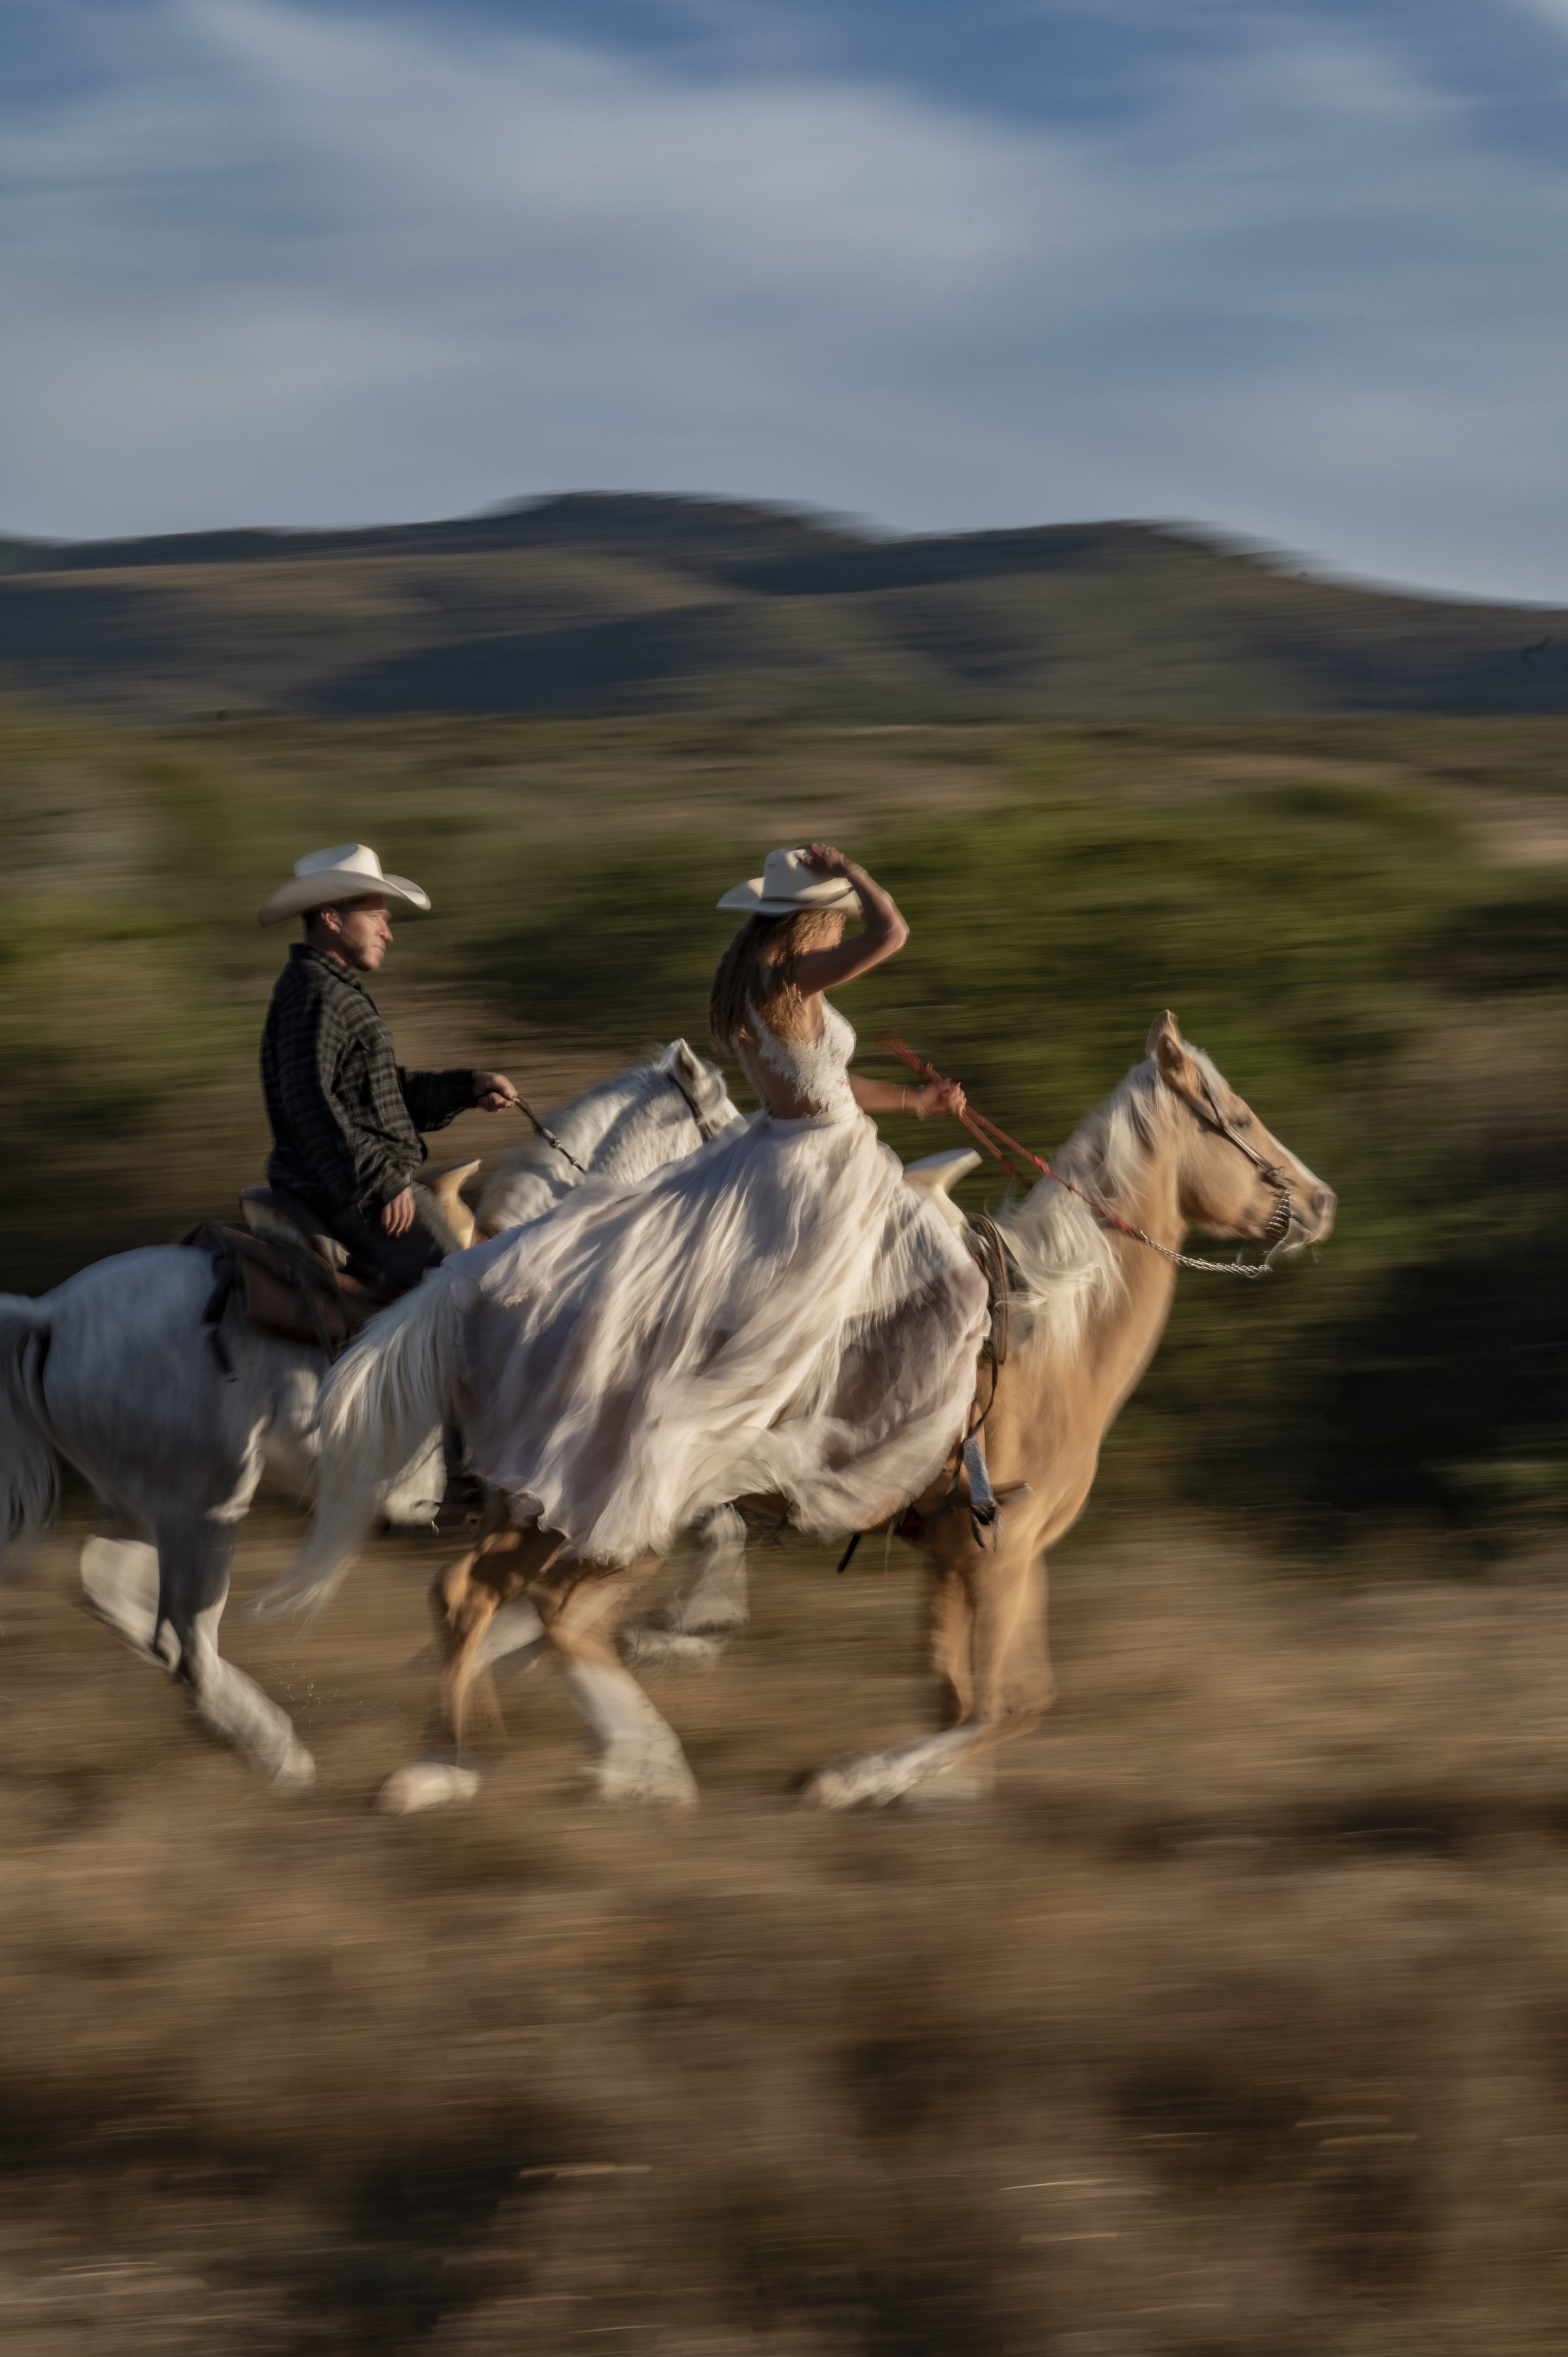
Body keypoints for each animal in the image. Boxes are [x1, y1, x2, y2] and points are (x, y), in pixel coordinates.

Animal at [0, 1040, 742, 1789]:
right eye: (734, 1122)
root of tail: (51, 1314)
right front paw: (666, 1667)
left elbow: (702, 1525)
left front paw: (679, 1634)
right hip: (205, 1507)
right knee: (183, 1636)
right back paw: (278, 1751)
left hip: (141, 1502)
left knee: (111, 1587)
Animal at [257, 1011, 1336, 1810]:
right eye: (1239, 1117)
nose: (1321, 1200)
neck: (1052, 1329)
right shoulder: (1008, 1552)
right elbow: (1006, 1704)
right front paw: (852, 1782)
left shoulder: (957, 1557)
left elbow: (961, 1694)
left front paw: (934, 1798)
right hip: (591, 1512)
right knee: (539, 1608)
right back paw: (627, 1763)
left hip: (545, 1508)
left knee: (475, 1598)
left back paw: (454, 1764)